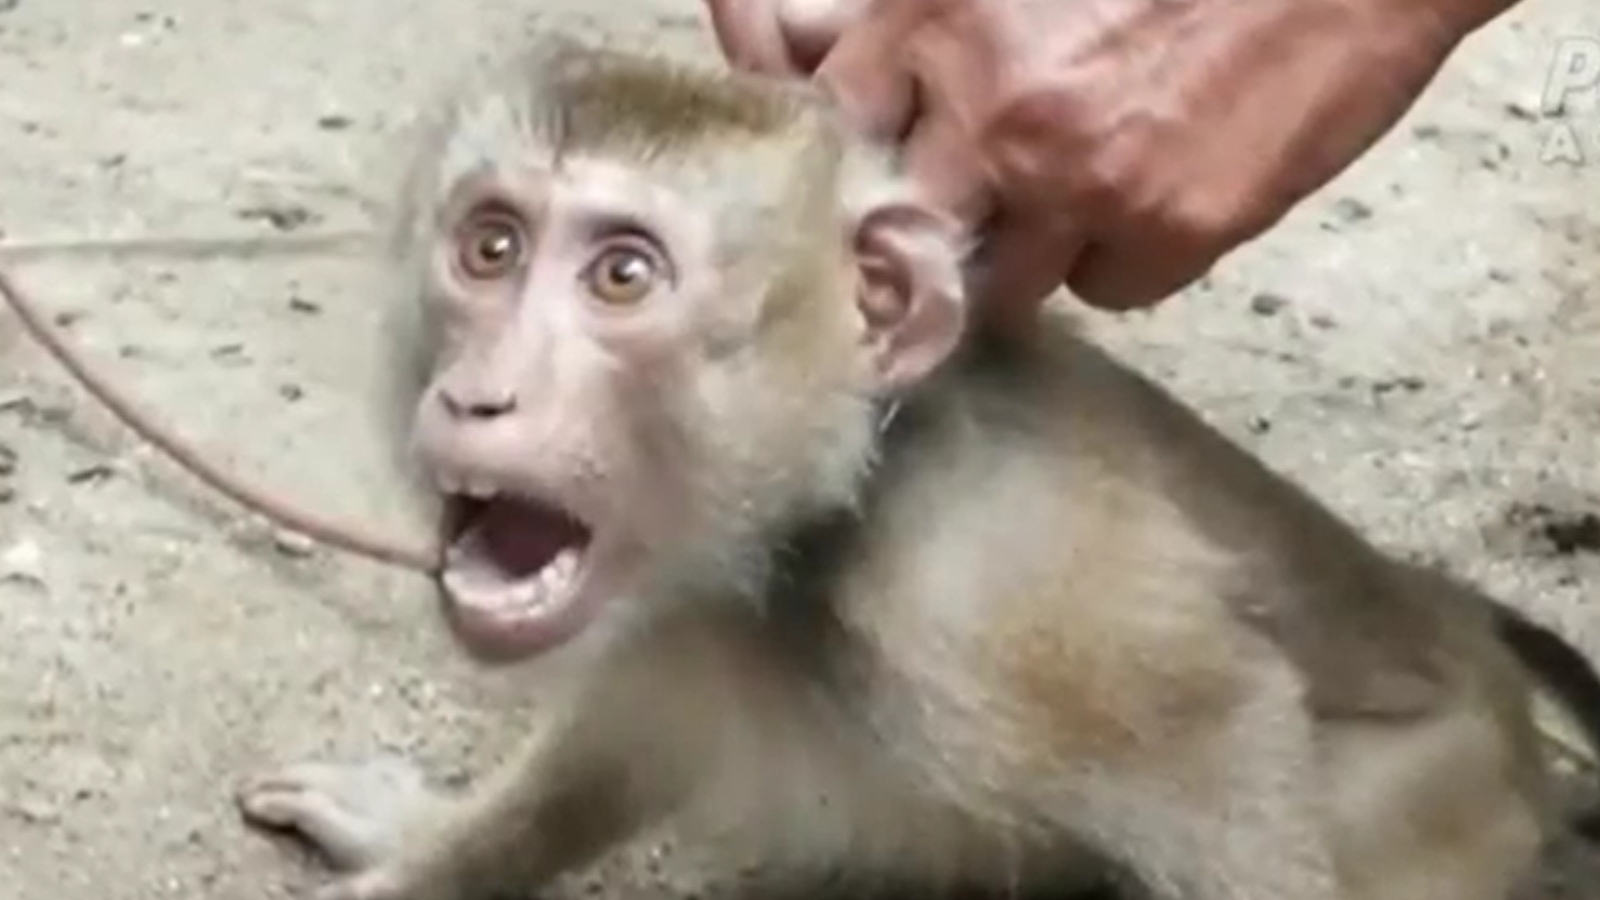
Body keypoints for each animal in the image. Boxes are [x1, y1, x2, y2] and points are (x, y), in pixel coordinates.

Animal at [233, 36, 1600, 900]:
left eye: (621, 275)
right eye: (491, 247)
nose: (478, 393)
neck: (820, 519)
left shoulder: (998, 602)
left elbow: (1232, 740)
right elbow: (615, 751)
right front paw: (429, 843)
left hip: (1437, 804)